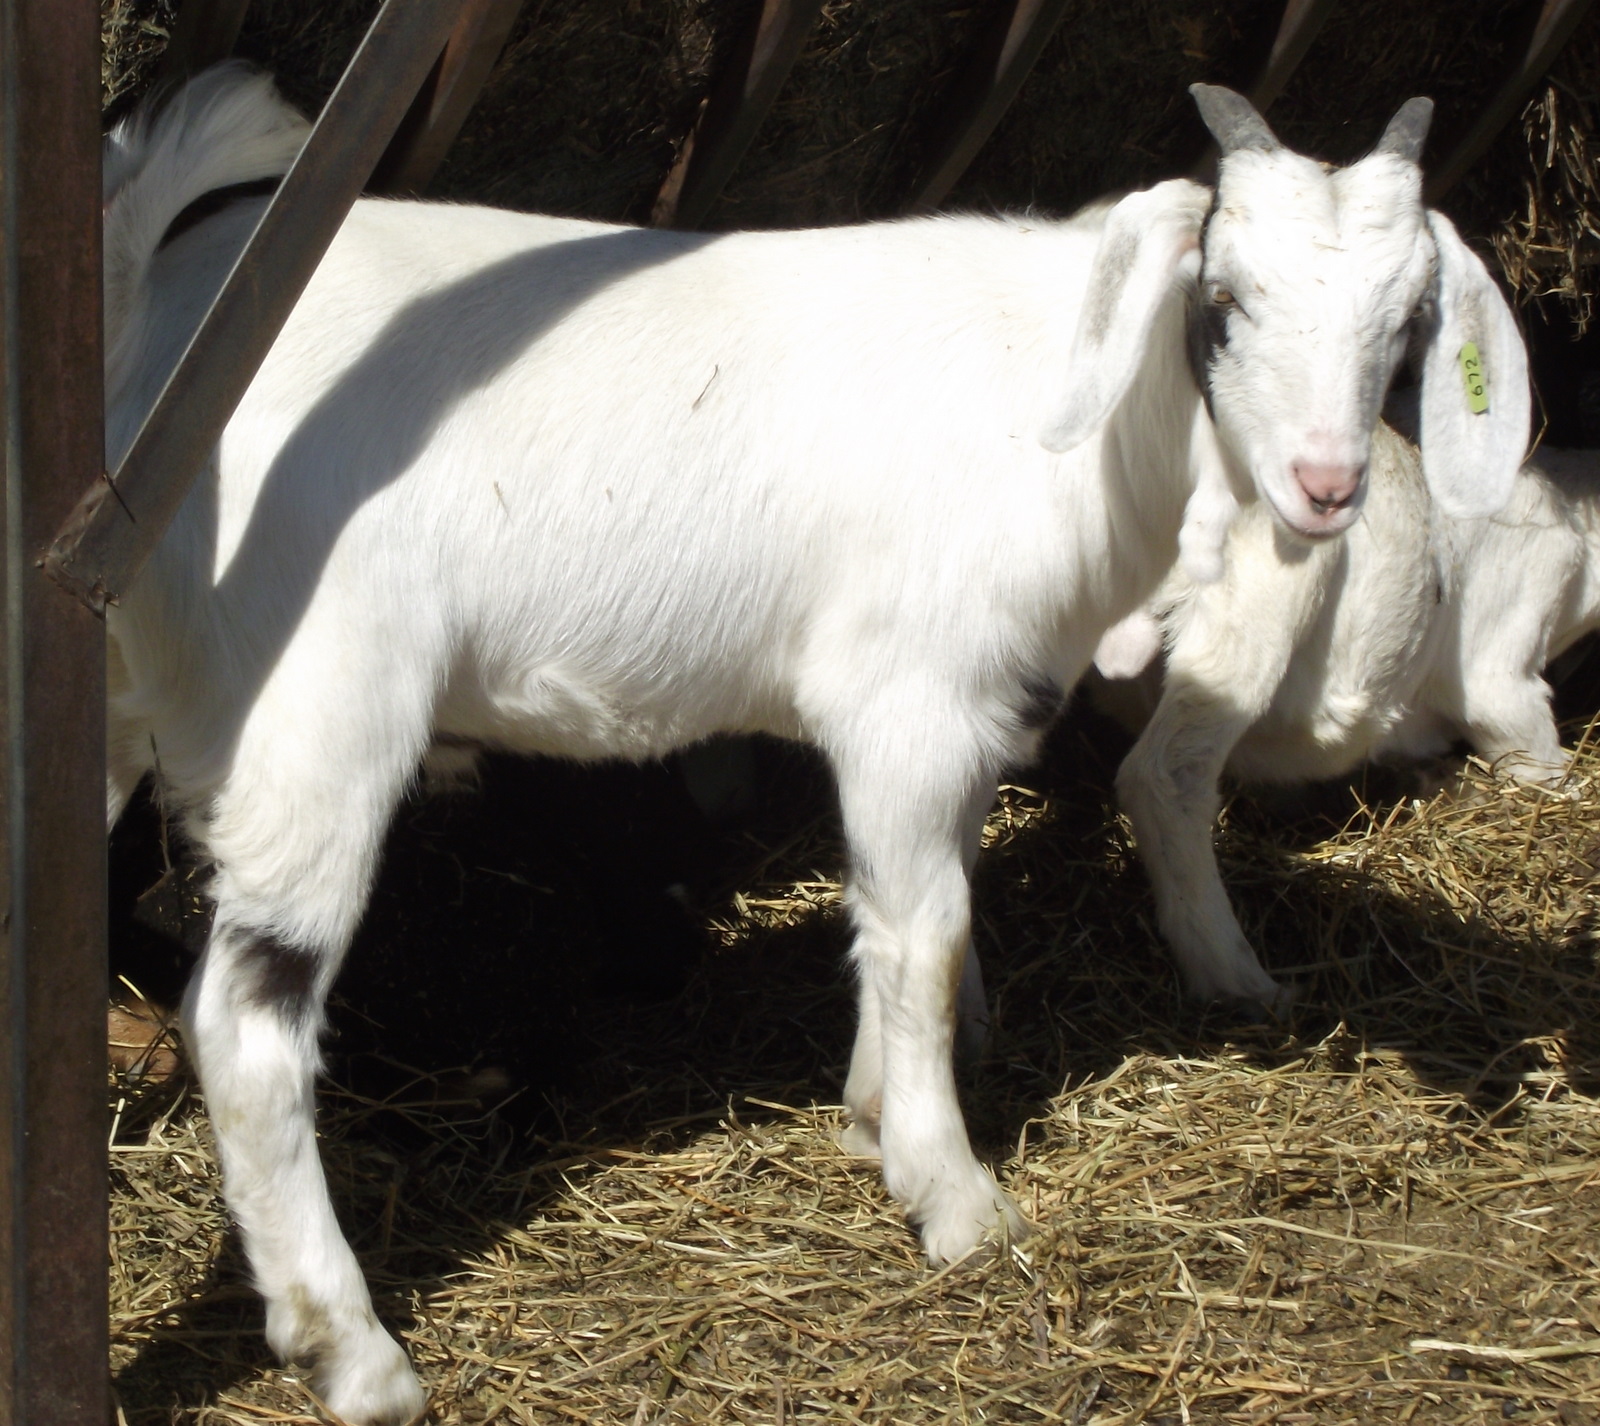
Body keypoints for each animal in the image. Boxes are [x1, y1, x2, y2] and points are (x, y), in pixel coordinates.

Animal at [102, 66, 1527, 1424]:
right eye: (1223, 297)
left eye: (1409, 321)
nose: (1327, 486)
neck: (1064, 404)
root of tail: (156, 311)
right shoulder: (908, 699)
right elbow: (925, 931)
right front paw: (953, 1195)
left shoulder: (961, 714)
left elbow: (902, 912)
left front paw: (872, 1110)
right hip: (319, 700)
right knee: (248, 1023)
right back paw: (351, 1354)